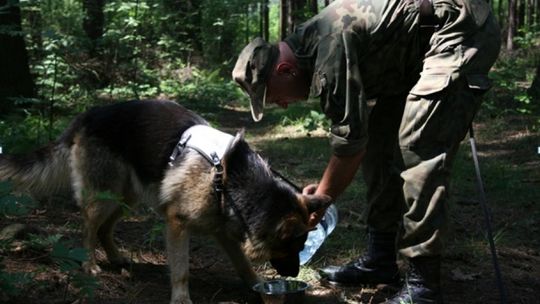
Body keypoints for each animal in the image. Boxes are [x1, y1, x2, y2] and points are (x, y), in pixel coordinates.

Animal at [0, 99, 332, 302]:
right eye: (293, 246)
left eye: (302, 246)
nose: (294, 275)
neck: (230, 179)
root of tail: (87, 115)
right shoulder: (177, 224)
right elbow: (181, 269)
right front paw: (181, 298)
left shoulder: (223, 231)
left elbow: (243, 265)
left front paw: (255, 287)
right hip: (105, 195)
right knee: (88, 227)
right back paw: (89, 264)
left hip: (127, 197)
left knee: (105, 228)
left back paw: (116, 258)